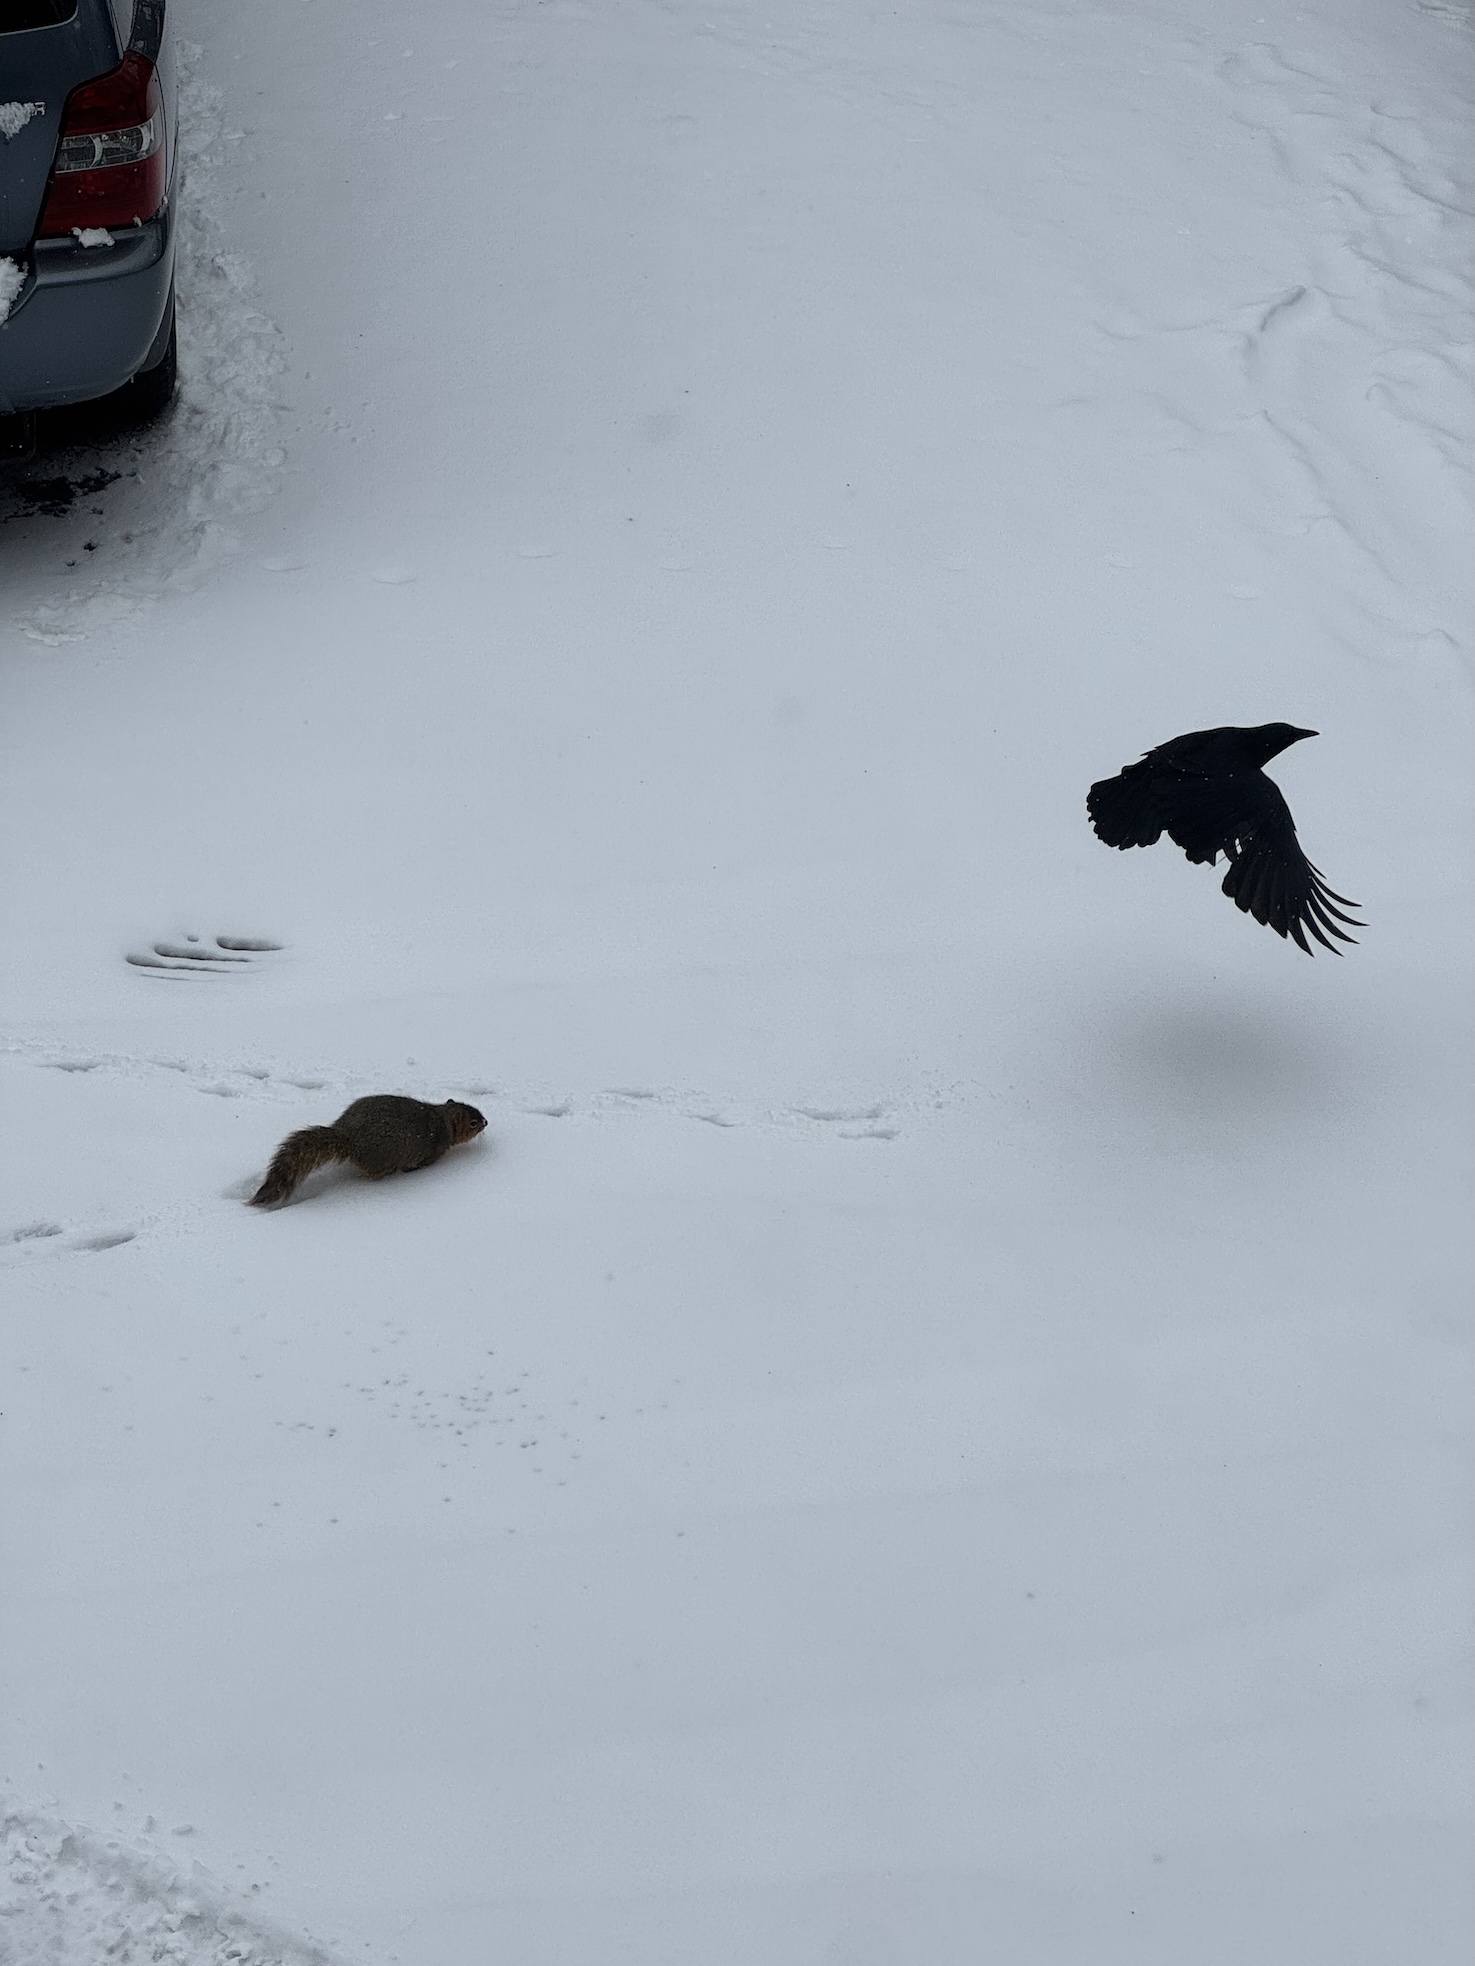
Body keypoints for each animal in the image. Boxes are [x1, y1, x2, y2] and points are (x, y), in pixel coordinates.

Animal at [249, 1095, 487, 1207]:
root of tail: (349, 1137)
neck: (442, 1120)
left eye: (472, 1107)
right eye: (473, 1123)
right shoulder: (431, 1153)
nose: (486, 1121)